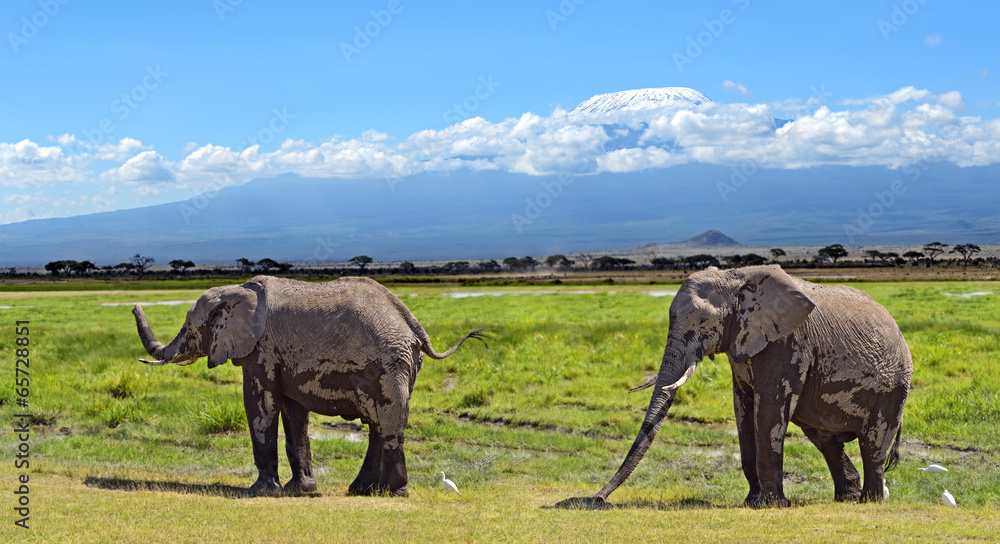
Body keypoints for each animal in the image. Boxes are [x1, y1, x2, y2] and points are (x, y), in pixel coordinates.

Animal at [132, 275, 487, 497]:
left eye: (190, 327)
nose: (134, 304)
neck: (238, 291)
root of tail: (413, 324)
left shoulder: (261, 349)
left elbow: (260, 406)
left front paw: (261, 491)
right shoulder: (283, 357)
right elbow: (294, 414)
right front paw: (299, 490)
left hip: (387, 363)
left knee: (387, 423)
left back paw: (393, 493)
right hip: (404, 365)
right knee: (378, 425)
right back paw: (364, 491)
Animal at [594, 265, 912, 507]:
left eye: (703, 320)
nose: (596, 499)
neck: (735, 280)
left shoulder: (787, 343)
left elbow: (769, 410)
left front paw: (769, 505)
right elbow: (743, 410)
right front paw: (751, 502)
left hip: (893, 386)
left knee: (873, 443)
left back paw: (870, 501)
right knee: (825, 440)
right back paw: (847, 498)